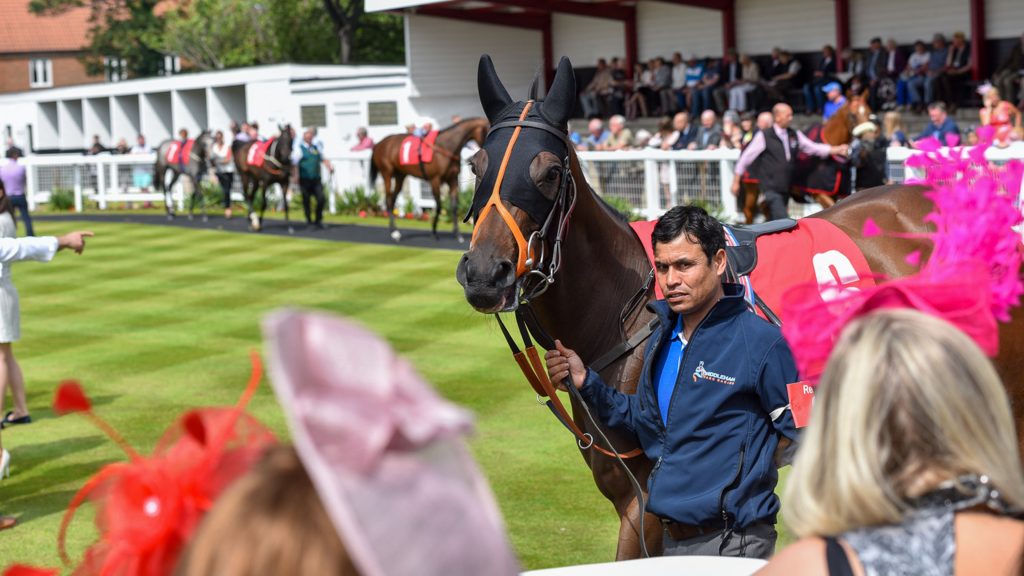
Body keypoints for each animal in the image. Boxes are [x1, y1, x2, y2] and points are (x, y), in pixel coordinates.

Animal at [737, 95, 872, 223]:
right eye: (853, 115)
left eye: (869, 113)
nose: (868, 143)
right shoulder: (819, 193)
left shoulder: (839, 194)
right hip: (752, 188)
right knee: (749, 211)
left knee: (765, 207)